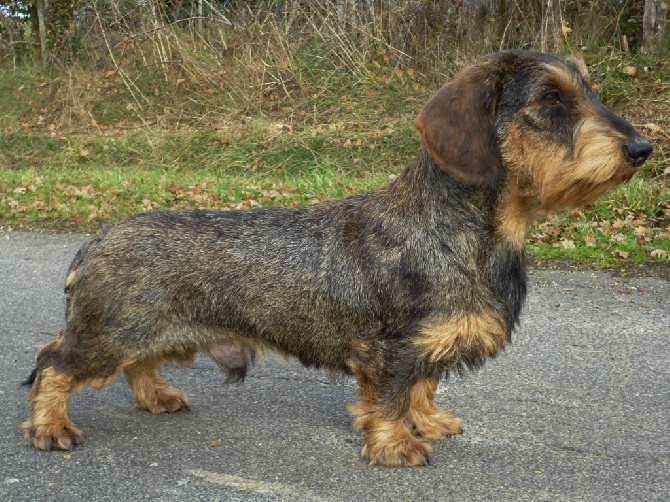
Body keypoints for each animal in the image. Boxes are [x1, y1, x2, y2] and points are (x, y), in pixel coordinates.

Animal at [19, 51, 652, 466]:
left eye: (590, 93)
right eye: (551, 100)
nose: (643, 149)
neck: (465, 230)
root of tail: (97, 237)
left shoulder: (428, 344)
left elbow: (424, 386)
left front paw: (429, 421)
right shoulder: (390, 350)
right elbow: (392, 396)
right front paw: (396, 444)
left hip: (150, 335)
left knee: (137, 365)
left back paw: (159, 396)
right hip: (108, 334)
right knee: (53, 363)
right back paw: (51, 427)